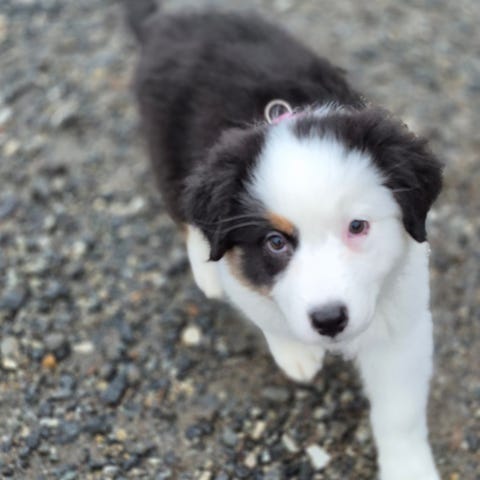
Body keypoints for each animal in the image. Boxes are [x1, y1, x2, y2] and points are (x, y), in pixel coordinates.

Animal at [125, 2, 443, 478]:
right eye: (276, 242)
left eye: (358, 226)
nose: (329, 320)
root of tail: (167, 21)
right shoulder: (243, 265)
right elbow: (262, 306)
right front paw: (296, 352)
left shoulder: (402, 322)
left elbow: (399, 413)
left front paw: (409, 469)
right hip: (168, 150)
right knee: (185, 215)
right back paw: (205, 272)